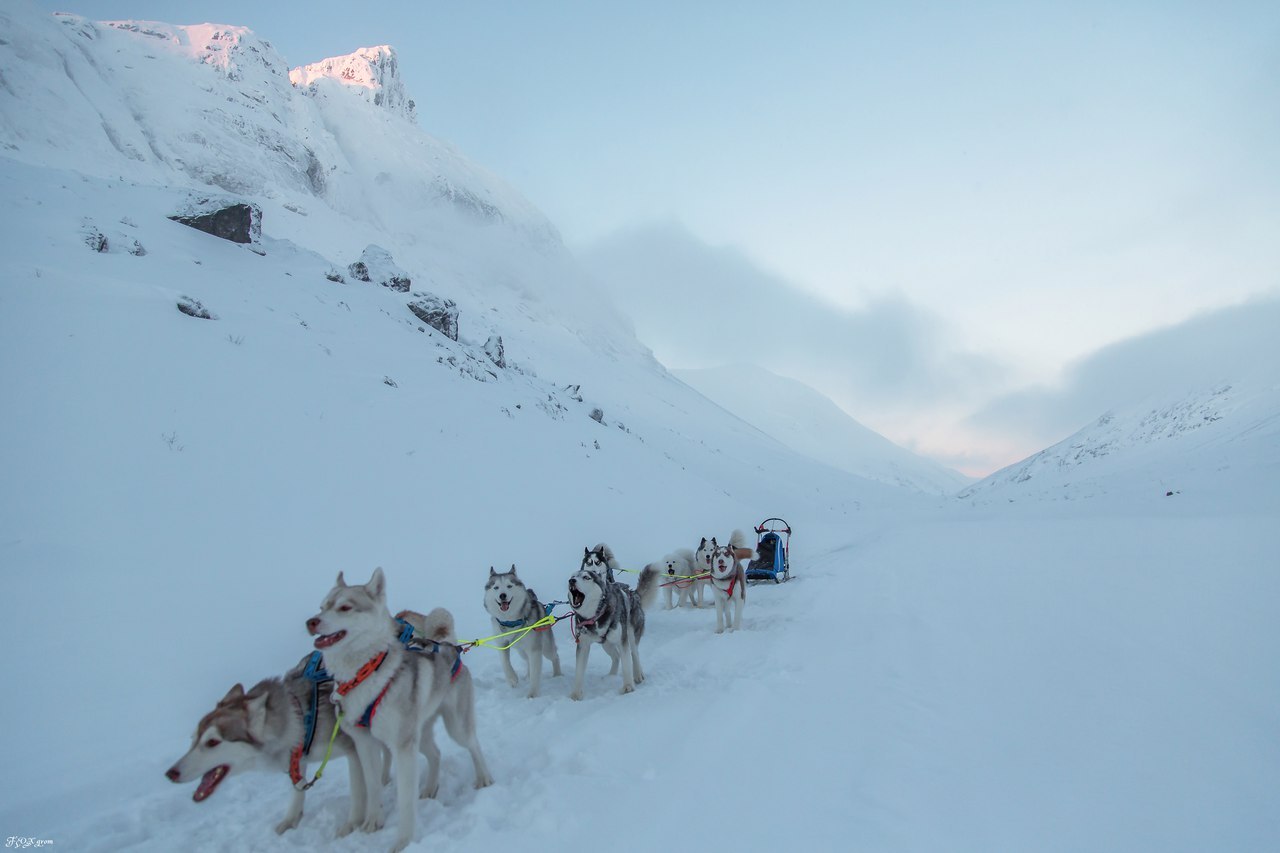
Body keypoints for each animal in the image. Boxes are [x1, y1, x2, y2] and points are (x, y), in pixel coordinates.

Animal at [162, 650, 378, 829]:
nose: (170, 773)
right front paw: (290, 821)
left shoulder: (354, 748)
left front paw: (353, 824)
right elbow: (297, 790)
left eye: (212, 742)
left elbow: (358, 790)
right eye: (193, 739)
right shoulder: (298, 758)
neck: (303, 717)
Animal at [304, 563, 494, 850]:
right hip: (421, 734)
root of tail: (449, 648)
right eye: (322, 606)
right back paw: (429, 788)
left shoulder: (403, 748)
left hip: (454, 727)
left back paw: (484, 778)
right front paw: (373, 822)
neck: (364, 674)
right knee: (435, 754)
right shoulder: (366, 744)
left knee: (473, 745)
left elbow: (405, 800)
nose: (311, 621)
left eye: (345, 607)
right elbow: (372, 786)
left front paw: (403, 841)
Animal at [483, 560, 560, 696]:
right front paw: (512, 679)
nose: (502, 595)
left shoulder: (535, 649)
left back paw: (558, 675)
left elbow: (535, 673)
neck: (510, 621)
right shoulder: (502, 644)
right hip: (522, 651)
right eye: (496, 587)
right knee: (528, 661)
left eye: (509, 586)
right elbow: (505, 663)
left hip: (546, 648)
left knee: (555, 656)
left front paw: (532, 695)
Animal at [570, 560, 660, 696]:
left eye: (586, 577)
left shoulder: (622, 641)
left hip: (630, 635)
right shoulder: (583, 645)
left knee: (634, 653)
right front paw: (575, 694)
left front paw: (628, 686)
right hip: (606, 643)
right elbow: (579, 670)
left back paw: (638, 674)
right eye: (572, 576)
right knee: (616, 656)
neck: (595, 616)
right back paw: (611, 676)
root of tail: (634, 594)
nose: (571, 581)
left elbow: (627, 663)